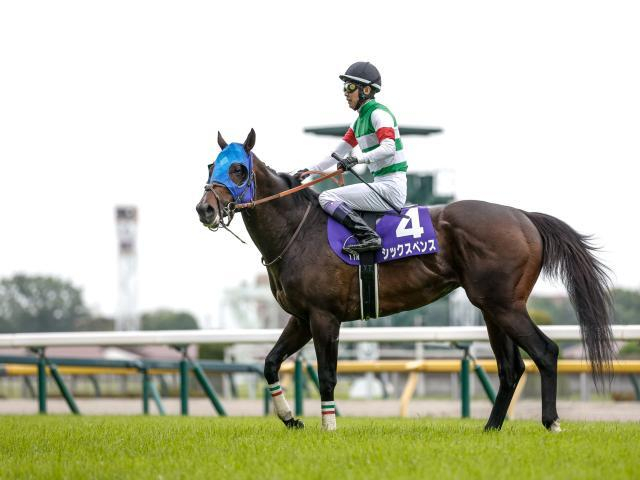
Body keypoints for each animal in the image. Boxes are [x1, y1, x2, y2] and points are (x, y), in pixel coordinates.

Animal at [196, 129, 614, 432]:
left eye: (238, 170)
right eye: (210, 165)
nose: (205, 209)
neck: (296, 231)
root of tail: (524, 217)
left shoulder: (324, 316)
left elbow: (328, 375)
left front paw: (329, 429)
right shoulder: (301, 318)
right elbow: (269, 363)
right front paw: (290, 419)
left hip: (504, 306)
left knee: (545, 352)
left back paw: (551, 422)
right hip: (493, 309)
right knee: (511, 368)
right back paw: (490, 430)